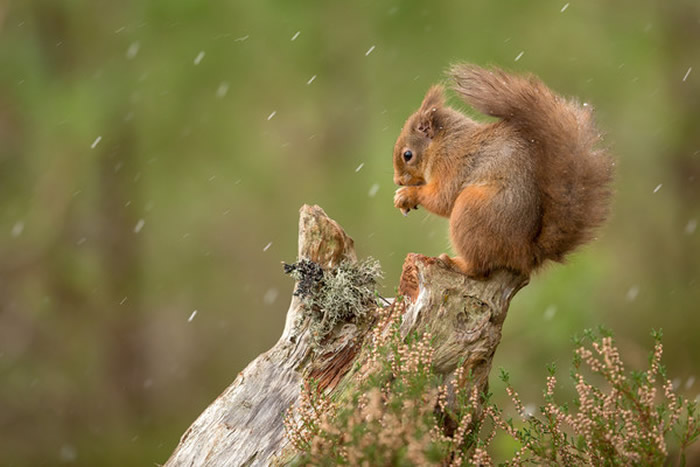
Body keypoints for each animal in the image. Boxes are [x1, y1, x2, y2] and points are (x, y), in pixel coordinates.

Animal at [394, 66, 612, 278]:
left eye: (407, 155)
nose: (397, 181)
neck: (443, 142)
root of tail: (526, 254)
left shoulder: (451, 164)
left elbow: (442, 199)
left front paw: (407, 195)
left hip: (470, 209)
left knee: (479, 270)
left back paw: (455, 263)